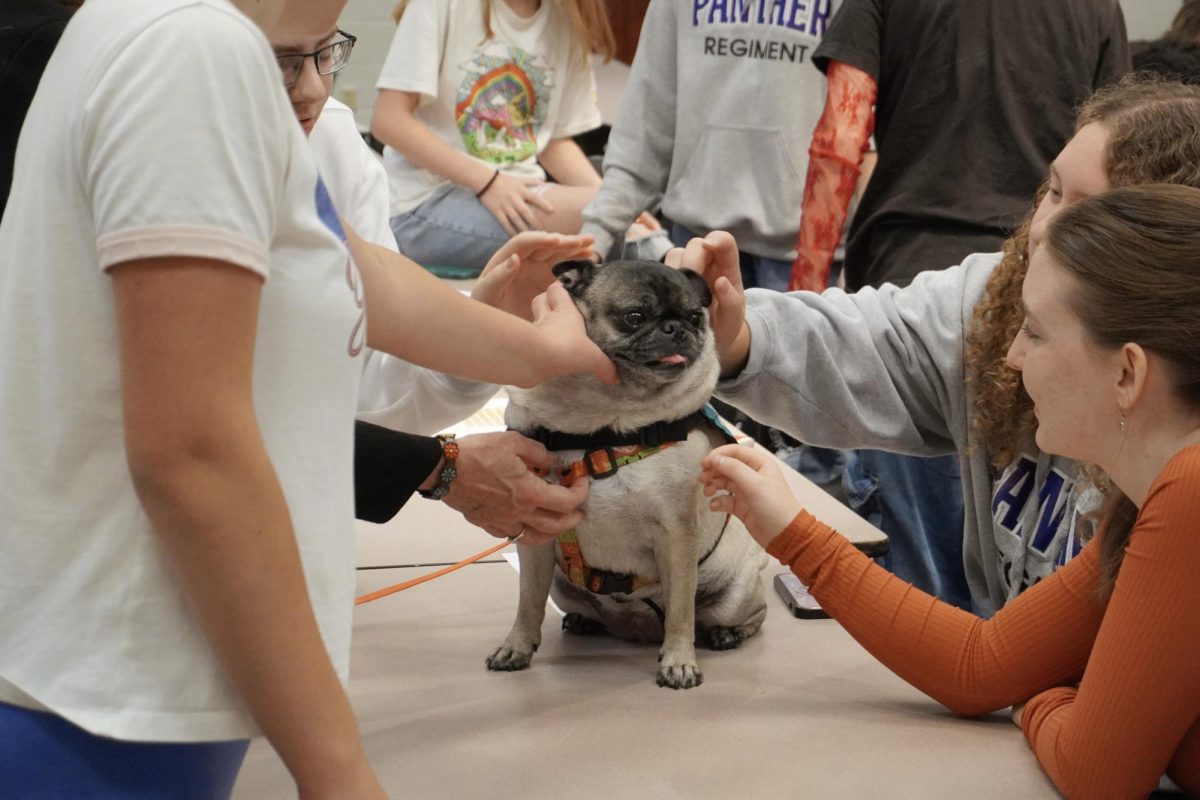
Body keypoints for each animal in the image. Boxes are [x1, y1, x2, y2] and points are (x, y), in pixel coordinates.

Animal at [484, 257, 768, 690]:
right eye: (635, 316)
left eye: (695, 317)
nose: (677, 328)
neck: (604, 420)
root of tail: (637, 627)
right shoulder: (536, 535)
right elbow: (528, 600)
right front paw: (516, 645)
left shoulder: (676, 535)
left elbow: (681, 611)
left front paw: (679, 662)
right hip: (562, 584)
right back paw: (585, 619)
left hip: (737, 589)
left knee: (743, 615)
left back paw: (727, 633)